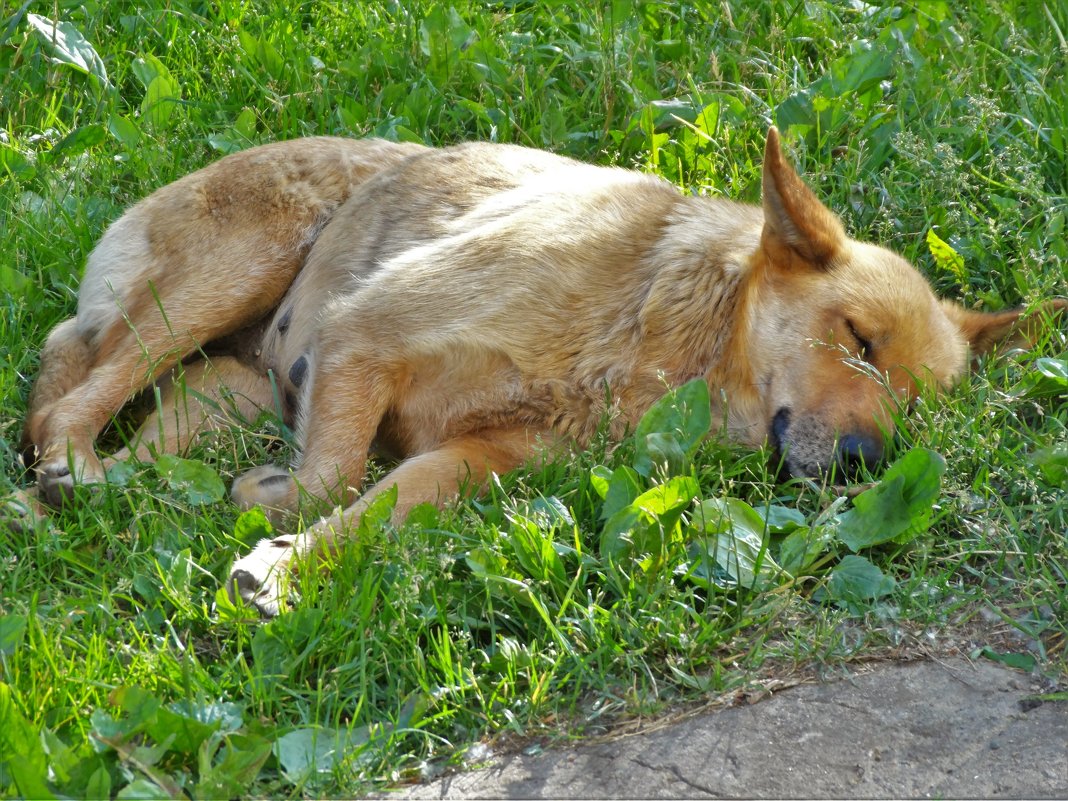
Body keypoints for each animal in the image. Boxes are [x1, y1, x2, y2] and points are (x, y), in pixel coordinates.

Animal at [20, 128, 1063, 615]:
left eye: (920, 410)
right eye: (856, 337)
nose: (863, 463)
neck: (663, 348)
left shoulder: (474, 459)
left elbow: (371, 500)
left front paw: (288, 558)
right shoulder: (362, 333)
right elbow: (332, 476)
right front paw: (276, 521)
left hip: (227, 390)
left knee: (143, 432)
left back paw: (97, 490)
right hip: (235, 268)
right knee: (70, 391)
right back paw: (69, 469)